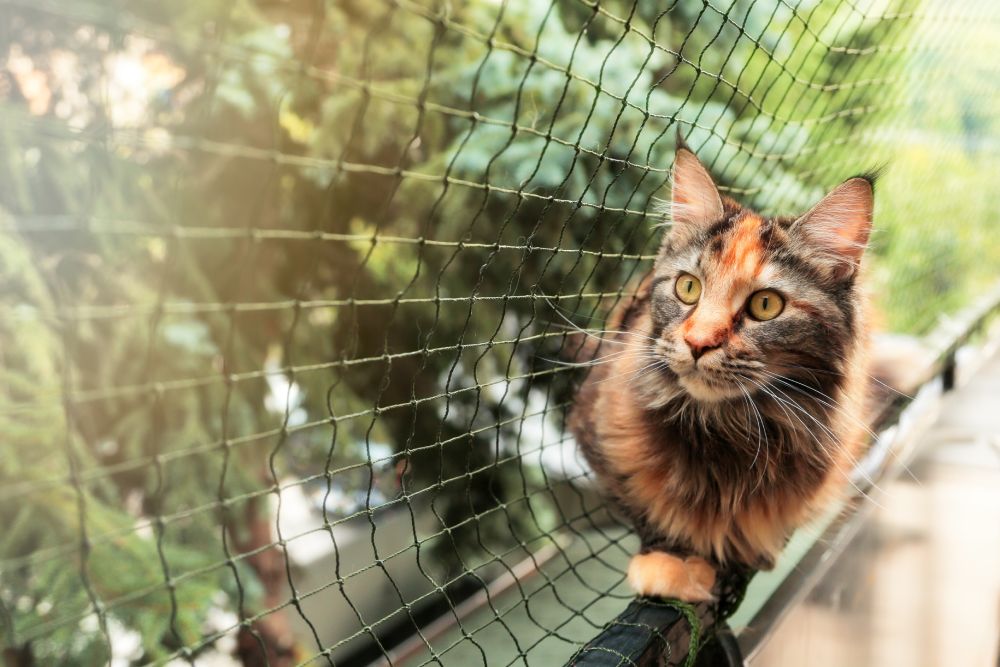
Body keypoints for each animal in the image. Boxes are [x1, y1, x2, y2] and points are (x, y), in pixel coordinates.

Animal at [572, 138, 876, 604]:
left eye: (766, 305)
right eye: (688, 287)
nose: (699, 343)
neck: (726, 430)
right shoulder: (597, 433)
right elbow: (645, 510)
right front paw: (672, 561)